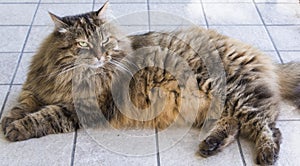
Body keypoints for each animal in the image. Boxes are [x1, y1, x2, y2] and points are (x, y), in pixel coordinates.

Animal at [0, 1, 300, 165]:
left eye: (104, 41)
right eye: (83, 44)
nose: (100, 56)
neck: (70, 76)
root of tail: (262, 57)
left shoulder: (85, 107)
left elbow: (45, 116)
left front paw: (17, 128)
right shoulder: (36, 87)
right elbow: (23, 103)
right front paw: (9, 120)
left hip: (235, 94)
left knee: (269, 127)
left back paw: (266, 155)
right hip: (224, 104)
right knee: (235, 124)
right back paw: (211, 144)